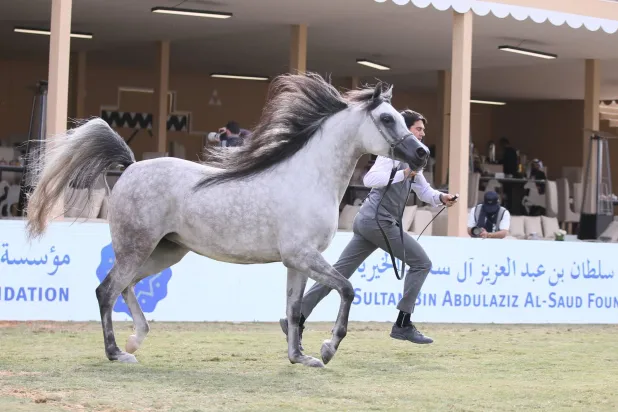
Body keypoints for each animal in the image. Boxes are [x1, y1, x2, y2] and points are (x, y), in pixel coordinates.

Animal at [25, 72, 428, 368]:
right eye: (387, 118)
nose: (421, 154)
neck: (308, 177)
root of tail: (131, 166)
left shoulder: (297, 262)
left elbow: (294, 309)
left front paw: (300, 357)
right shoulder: (302, 256)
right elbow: (346, 288)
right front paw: (328, 349)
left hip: (164, 252)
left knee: (125, 287)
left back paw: (136, 338)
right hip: (137, 248)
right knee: (106, 290)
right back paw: (117, 352)